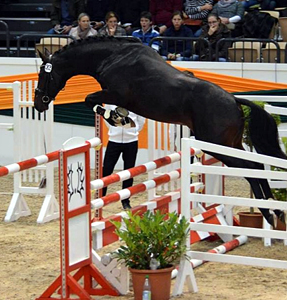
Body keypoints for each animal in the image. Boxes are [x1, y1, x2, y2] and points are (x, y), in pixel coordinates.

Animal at [35, 36, 286, 226]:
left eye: (43, 74)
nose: (39, 104)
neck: (112, 57)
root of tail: (234, 100)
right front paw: (121, 117)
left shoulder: (114, 93)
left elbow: (90, 100)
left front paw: (118, 118)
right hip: (230, 143)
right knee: (256, 166)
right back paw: (275, 210)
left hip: (217, 144)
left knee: (251, 168)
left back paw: (268, 213)